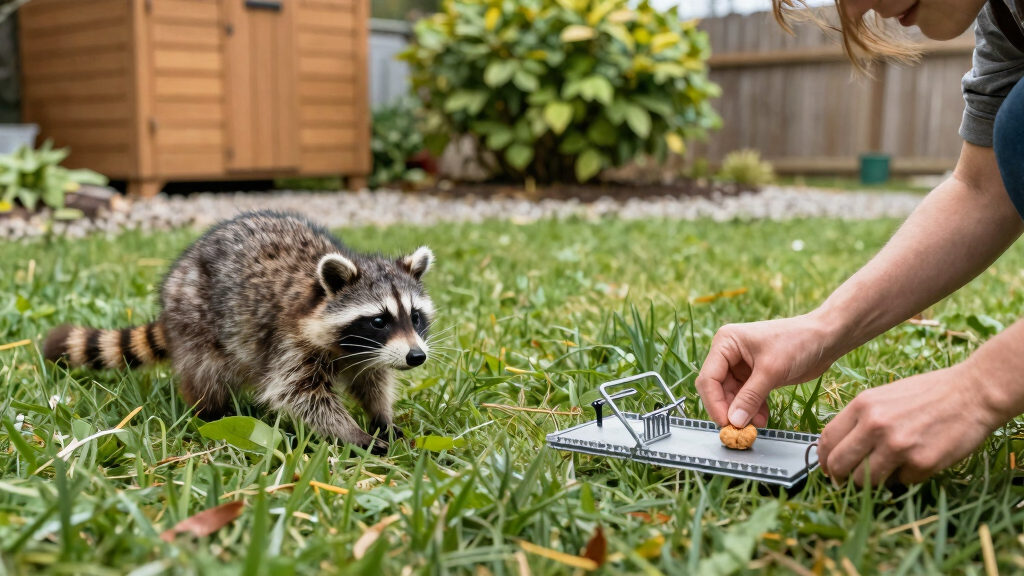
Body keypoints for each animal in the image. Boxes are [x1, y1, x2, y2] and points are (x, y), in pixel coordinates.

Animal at [43, 211, 435, 453]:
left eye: (415, 317)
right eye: (379, 320)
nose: (417, 357)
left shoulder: (370, 353)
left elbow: (373, 382)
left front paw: (382, 419)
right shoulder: (290, 343)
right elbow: (301, 396)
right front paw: (354, 434)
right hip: (196, 325)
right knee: (207, 374)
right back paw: (210, 414)